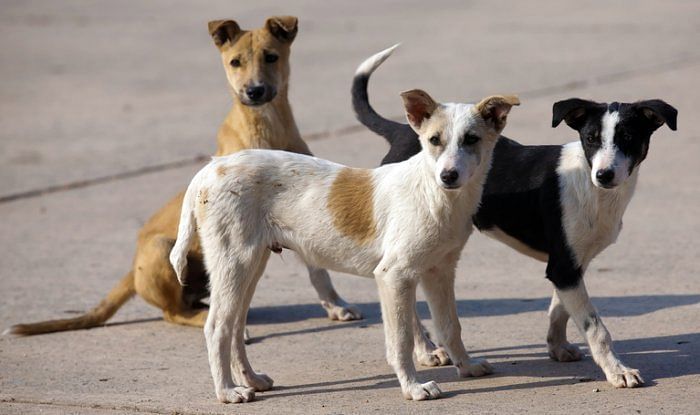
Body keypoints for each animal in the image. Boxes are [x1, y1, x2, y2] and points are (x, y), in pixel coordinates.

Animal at [8, 17, 360, 338]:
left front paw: (336, 305)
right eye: (235, 62)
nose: (254, 91)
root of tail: (131, 271)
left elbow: (319, 271)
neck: (266, 127)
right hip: (161, 249)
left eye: (271, 57)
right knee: (174, 312)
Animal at [170, 88, 520, 404]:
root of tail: (211, 168)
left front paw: (467, 366)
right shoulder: (393, 275)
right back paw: (227, 392)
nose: (448, 175)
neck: (435, 194)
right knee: (217, 327)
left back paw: (251, 380)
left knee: (234, 326)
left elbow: (450, 326)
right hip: (234, 263)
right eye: (434, 140)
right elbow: (401, 340)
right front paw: (412, 388)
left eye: (471, 139)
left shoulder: (440, 271)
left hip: (249, 267)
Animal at [352, 46, 676, 390]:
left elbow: (559, 309)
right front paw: (618, 371)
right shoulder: (564, 266)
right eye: (590, 138)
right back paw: (425, 351)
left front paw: (557, 347)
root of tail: (402, 130)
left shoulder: (570, 265)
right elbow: (595, 327)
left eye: (628, 138)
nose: (605, 174)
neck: (592, 188)